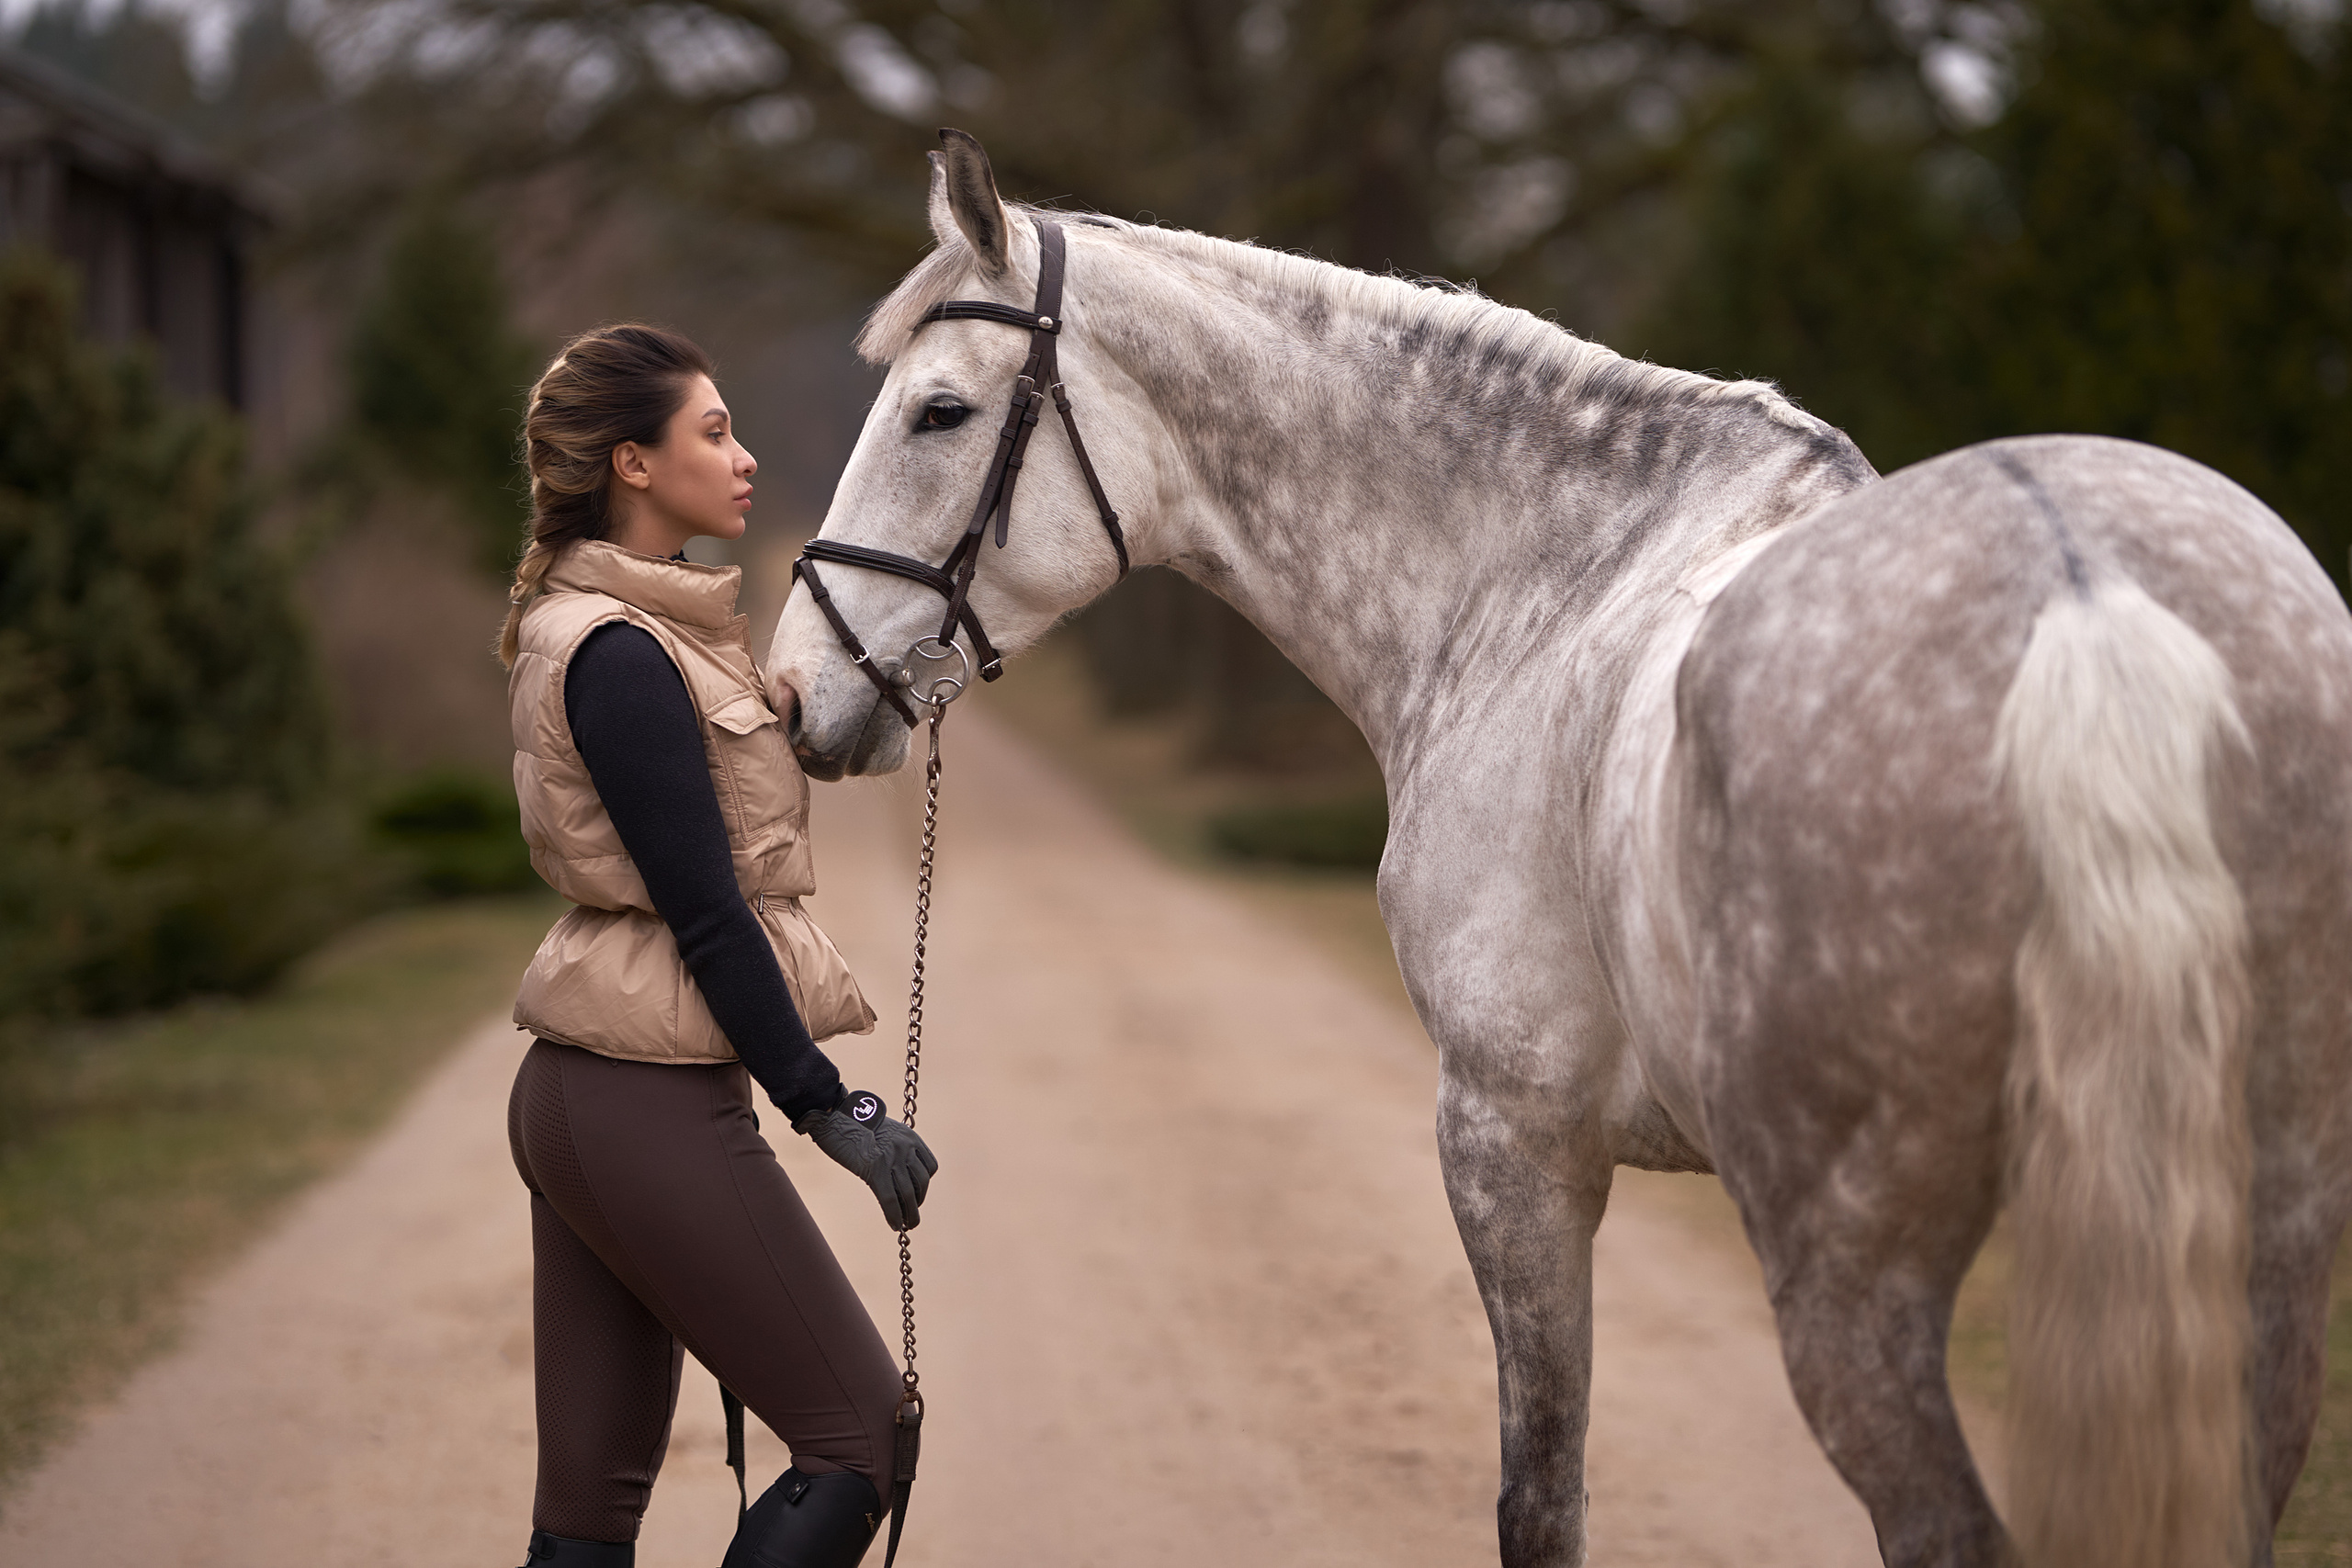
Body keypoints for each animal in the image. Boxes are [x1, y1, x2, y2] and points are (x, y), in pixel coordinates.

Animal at [766, 130, 2352, 1568]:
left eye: (940, 411)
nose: (795, 689)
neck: (1549, 577)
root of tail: (2082, 594)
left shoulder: (1511, 1139)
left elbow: (1541, 1500)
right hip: (2258, 1243)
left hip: (1856, 1273)